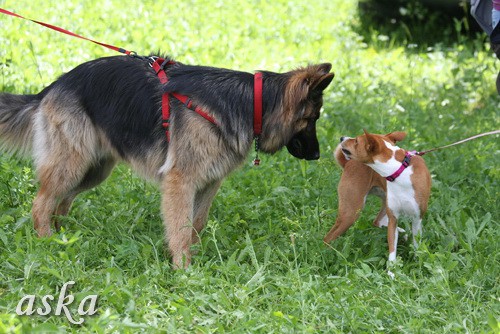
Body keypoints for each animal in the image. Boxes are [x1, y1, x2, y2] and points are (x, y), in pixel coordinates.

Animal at [0, 54, 336, 268]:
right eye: (312, 119)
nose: (318, 155)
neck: (250, 103)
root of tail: (53, 86)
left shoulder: (209, 182)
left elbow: (196, 223)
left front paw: (195, 258)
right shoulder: (180, 182)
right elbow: (180, 227)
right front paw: (183, 269)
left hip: (92, 170)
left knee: (60, 202)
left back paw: (63, 236)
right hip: (72, 164)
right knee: (40, 203)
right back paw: (47, 242)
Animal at [324, 129, 430, 268]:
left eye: (356, 141)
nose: (342, 138)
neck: (399, 170)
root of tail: (348, 163)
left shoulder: (417, 218)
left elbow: (417, 247)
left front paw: (418, 265)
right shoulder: (393, 218)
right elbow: (392, 253)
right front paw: (392, 272)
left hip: (378, 204)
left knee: (377, 221)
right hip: (351, 213)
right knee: (328, 238)